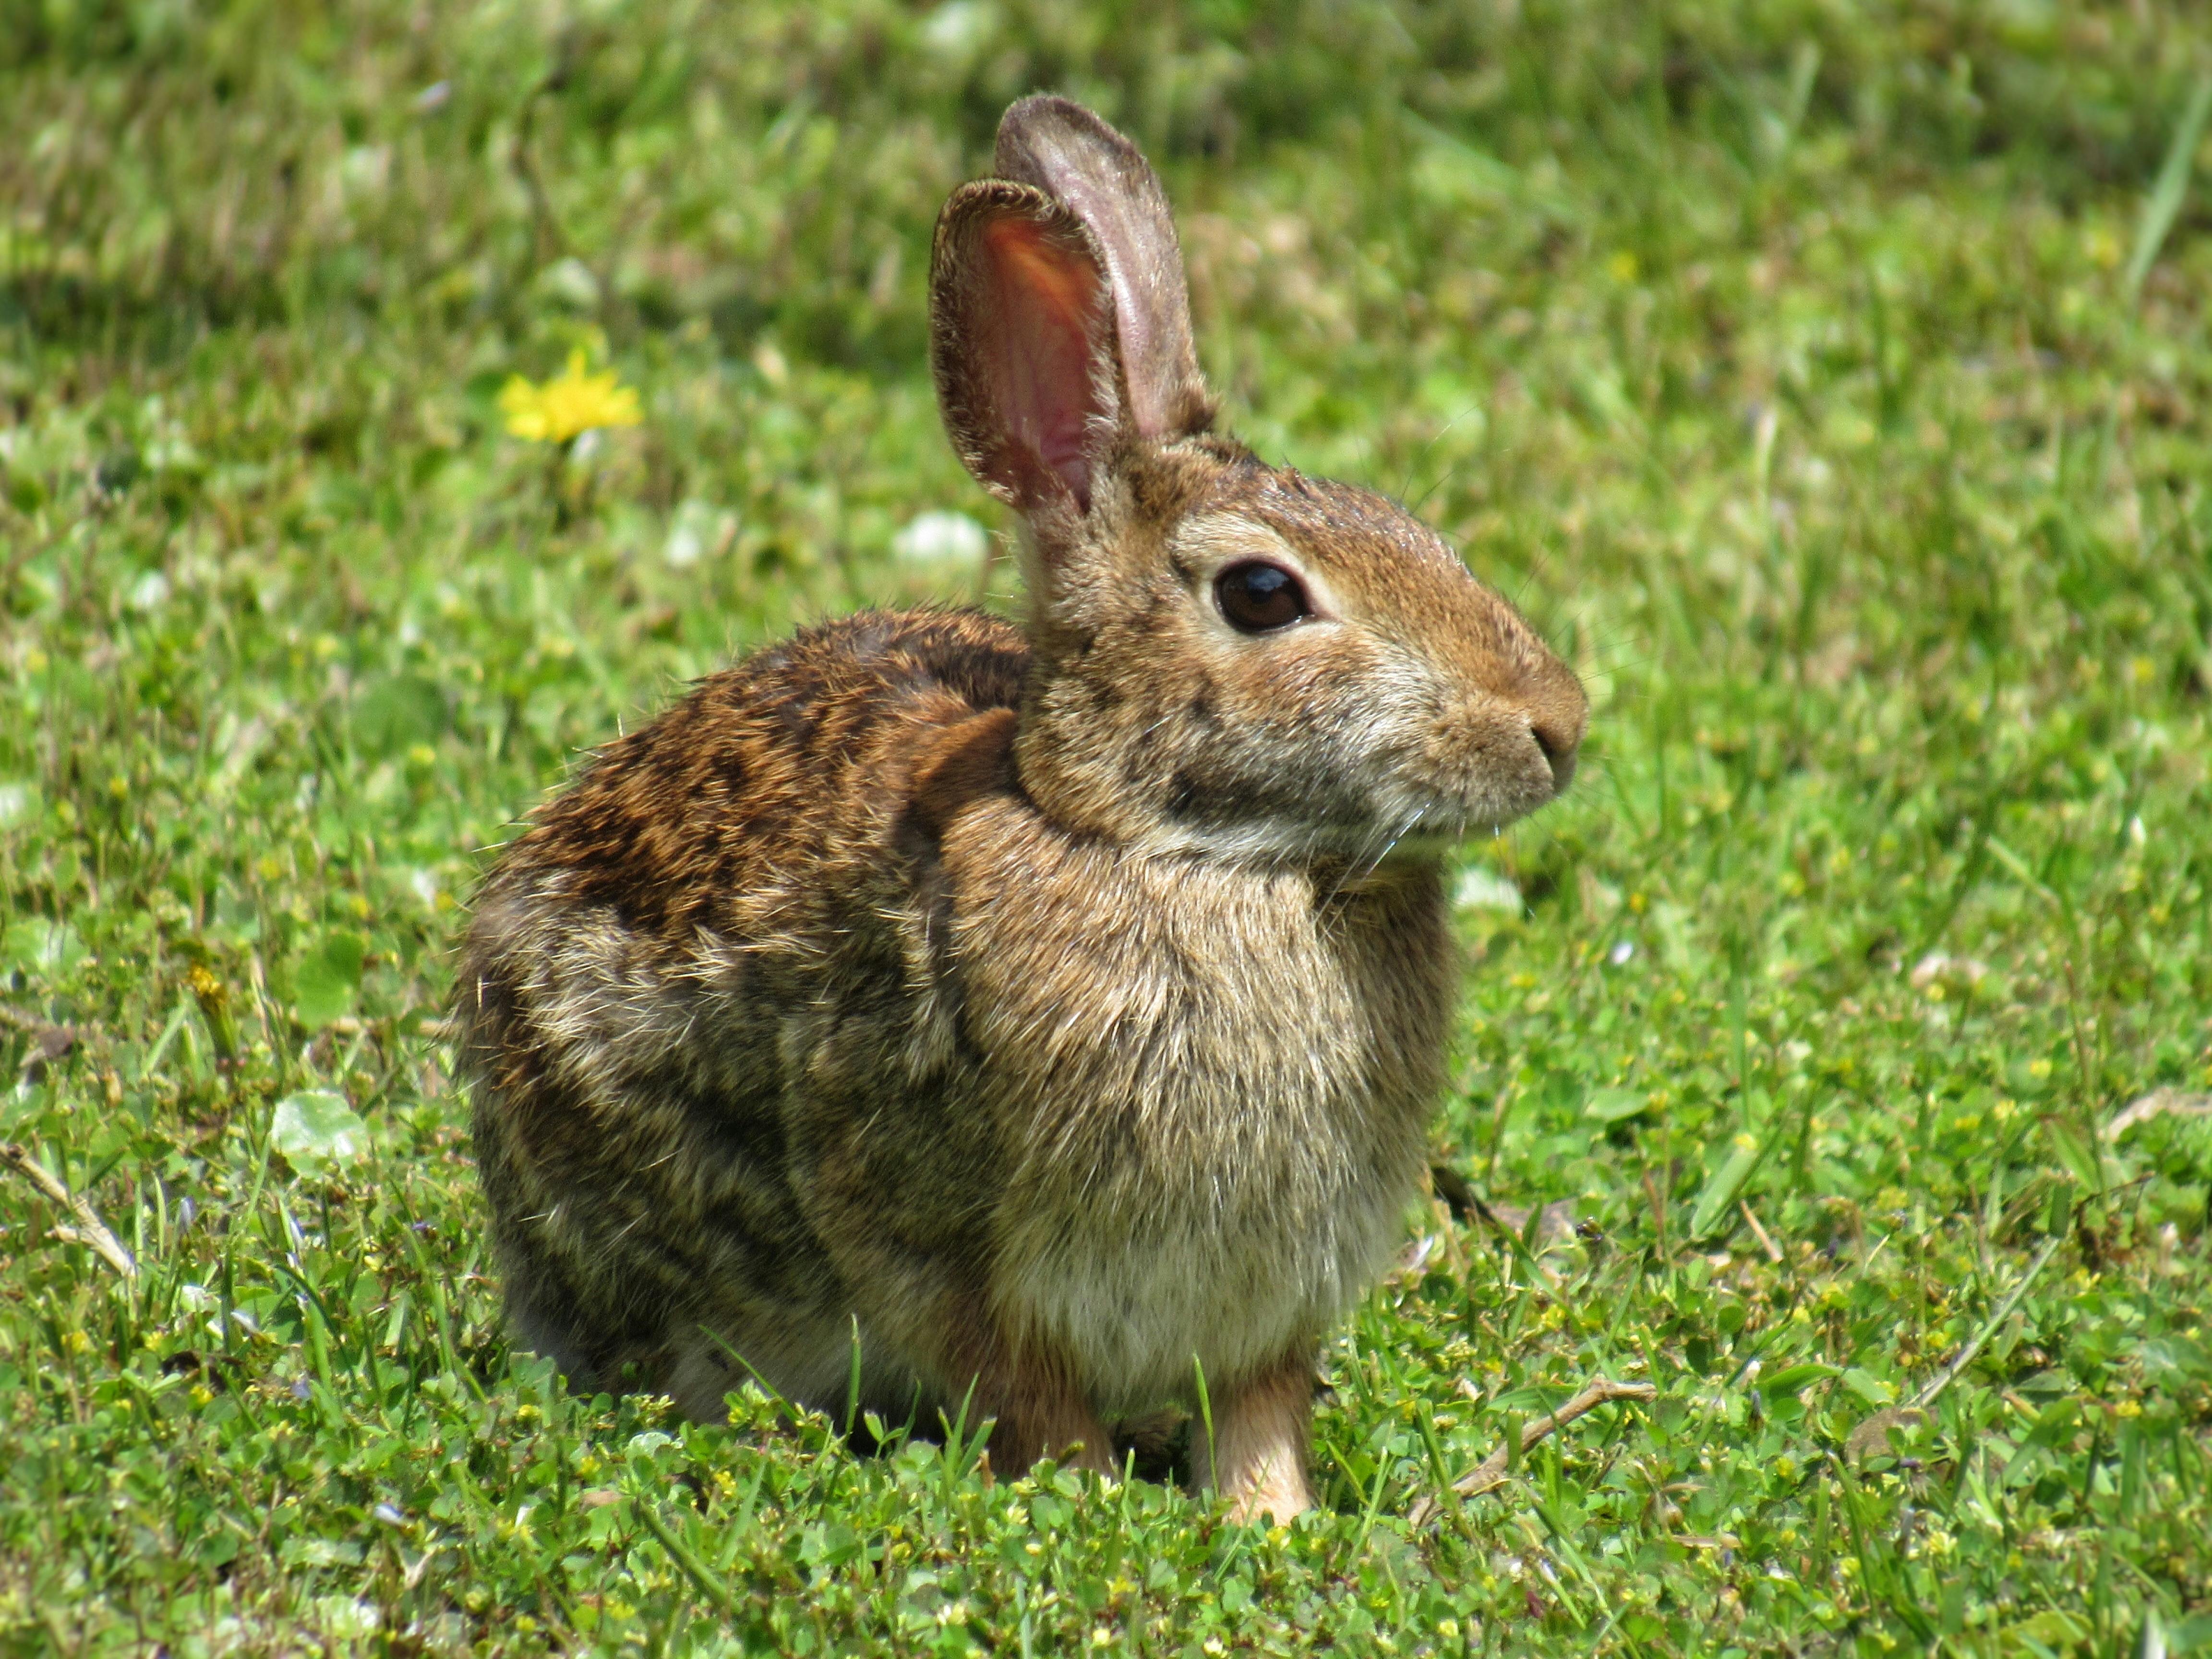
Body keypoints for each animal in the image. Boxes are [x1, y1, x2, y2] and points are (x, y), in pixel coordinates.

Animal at [456, 94, 1586, 1524]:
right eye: (1263, 596)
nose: (1557, 726)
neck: (1189, 854)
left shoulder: (1272, 1294)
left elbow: (1259, 1415)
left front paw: (1270, 1527)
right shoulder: (948, 1257)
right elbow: (1032, 1400)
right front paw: (1102, 1512)